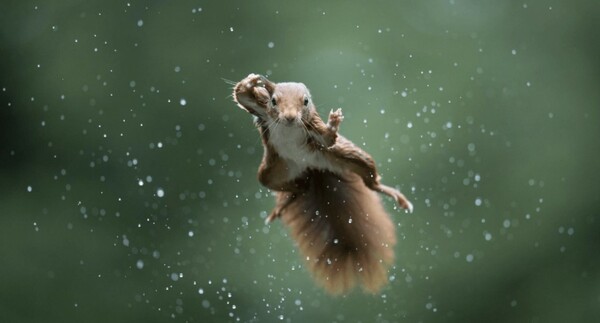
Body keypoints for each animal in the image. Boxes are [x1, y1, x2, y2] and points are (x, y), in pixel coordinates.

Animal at [231, 74, 412, 296]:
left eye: (306, 101)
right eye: (274, 101)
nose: (290, 117)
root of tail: (311, 169)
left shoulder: (313, 126)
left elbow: (328, 138)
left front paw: (334, 122)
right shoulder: (262, 109)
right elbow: (241, 94)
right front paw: (251, 81)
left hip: (348, 156)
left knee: (370, 181)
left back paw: (396, 195)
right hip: (272, 172)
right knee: (295, 187)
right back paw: (283, 205)